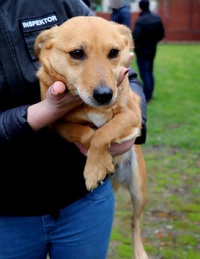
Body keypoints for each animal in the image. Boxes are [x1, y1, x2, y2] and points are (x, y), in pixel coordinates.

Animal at [34, 16, 147, 259]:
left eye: (114, 52)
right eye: (77, 53)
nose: (104, 95)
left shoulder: (132, 115)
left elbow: (104, 132)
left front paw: (95, 168)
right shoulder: (56, 122)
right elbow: (88, 133)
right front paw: (99, 164)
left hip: (139, 190)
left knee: (135, 222)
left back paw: (140, 251)